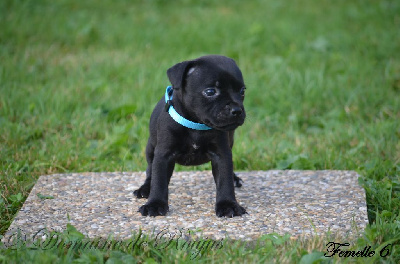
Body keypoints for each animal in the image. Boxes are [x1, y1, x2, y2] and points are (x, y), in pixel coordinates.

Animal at [134, 54, 247, 218]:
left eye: (242, 91)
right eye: (210, 92)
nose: (237, 110)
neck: (196, 124)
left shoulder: (222, 154)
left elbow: (225, 180)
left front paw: (228, 205)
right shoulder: (163, 155)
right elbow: (159, 179)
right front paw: (154, 204)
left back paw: (235, 179)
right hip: (150, 148)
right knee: (150, 170)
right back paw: (145, 188)